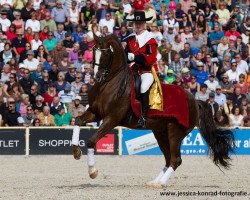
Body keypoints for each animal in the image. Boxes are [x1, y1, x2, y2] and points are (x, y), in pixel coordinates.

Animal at [72, 33, 234, 188]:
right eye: (94, 52)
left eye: (105, 53)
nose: (97, 77)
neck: (110, 83)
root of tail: (194, 101)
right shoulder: (95, 113)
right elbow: (78, 120)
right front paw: (76, 150)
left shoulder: (112, 118)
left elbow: (91, 141)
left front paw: (92, 171)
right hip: (160, 132)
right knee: (168, 159)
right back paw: (154, 182)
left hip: (175, 132)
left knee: (175, 159)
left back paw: (160, 184)